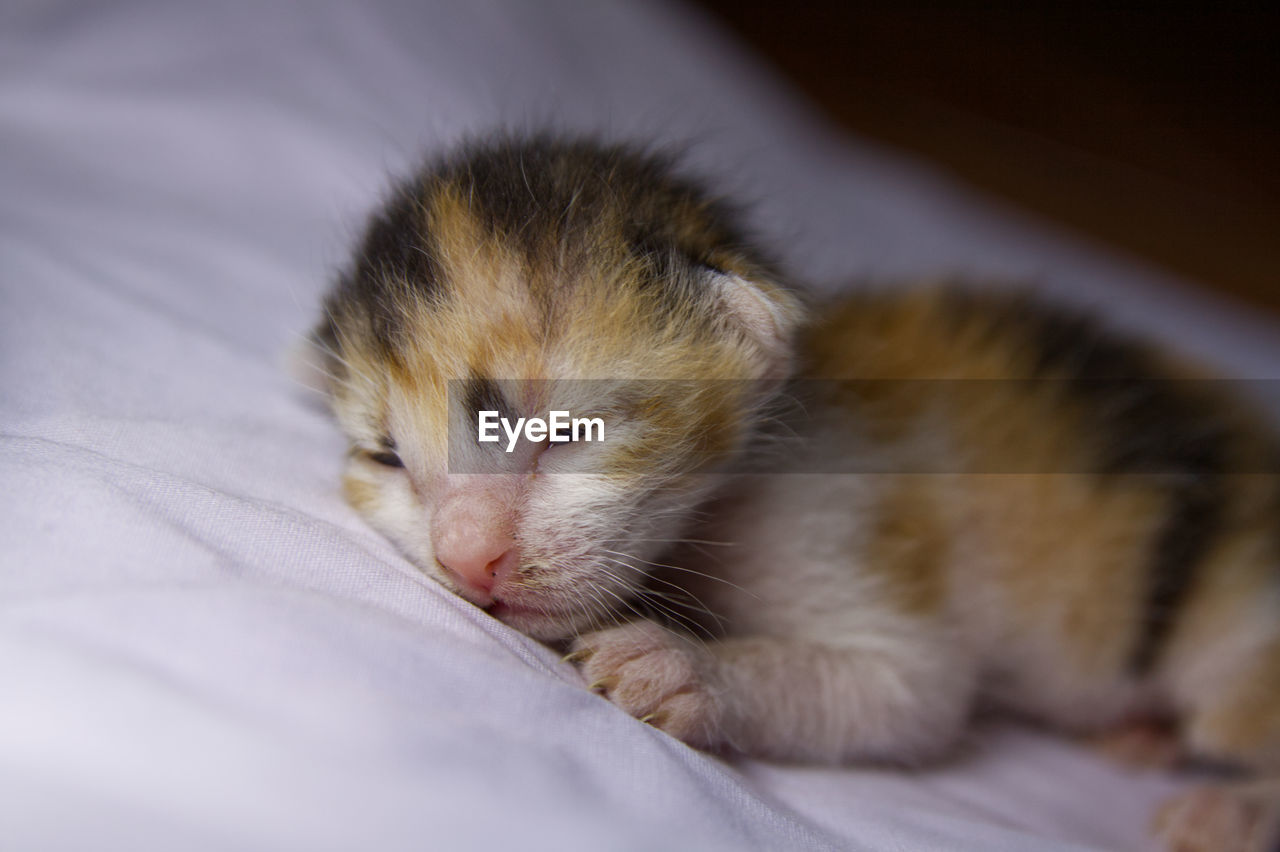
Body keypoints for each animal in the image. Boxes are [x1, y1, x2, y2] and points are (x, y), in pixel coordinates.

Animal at [309, 136, 1280, 844]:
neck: (715, 504)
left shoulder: (842, 514)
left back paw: (1230, 807)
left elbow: (908, 692)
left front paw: (681, 666)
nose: (467, 558)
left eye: (560, 431)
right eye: (386, 458)